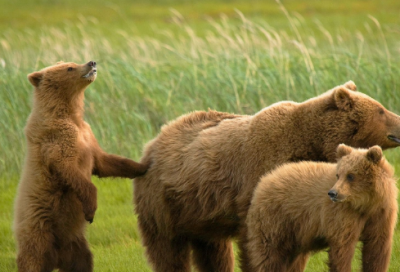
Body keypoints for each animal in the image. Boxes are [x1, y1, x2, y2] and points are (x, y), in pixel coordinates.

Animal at [14, 61, 149, 272]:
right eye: (69, 68)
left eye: (72, 62)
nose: (91, 62)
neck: (70, 113)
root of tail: (56, 258)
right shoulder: (57, 139)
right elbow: (69, 169)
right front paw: (91, 210)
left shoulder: (87, 135)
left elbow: (104, 162)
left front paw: (143, 165)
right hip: (38, 231)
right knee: (32, 260)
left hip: (76, 245)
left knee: (83, 261)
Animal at [244, 146, 396, 272]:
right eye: (338, 175)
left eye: (351, 175)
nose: (333, 193)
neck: (366, 204)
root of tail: (265, 178)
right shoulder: (342, 216)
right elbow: (342, 250)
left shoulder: (382, 214)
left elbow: (376, 250)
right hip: (275, 220)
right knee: (269, 256)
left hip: (296, 234)